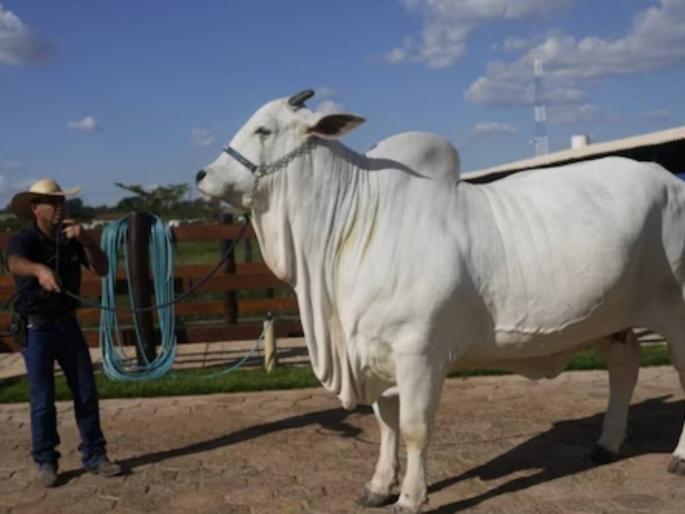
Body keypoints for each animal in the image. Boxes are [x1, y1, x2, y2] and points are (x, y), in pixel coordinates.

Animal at [195, 90, 685, 513]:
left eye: (263, 129)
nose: (202, 176)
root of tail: (672, 180)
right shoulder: (375, 352)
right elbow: (386, 424)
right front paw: (378, 486)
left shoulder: (419, 353)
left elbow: (414, 428)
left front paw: (411, 497)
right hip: (612, 317)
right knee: (625, 366)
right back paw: (606, 444)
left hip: (676, 312)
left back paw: (677, 457)